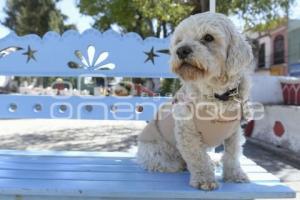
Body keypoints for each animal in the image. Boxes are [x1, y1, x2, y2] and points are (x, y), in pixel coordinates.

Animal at [138, 12, 253, 191]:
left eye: (208, 37)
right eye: (179, 41)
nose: (181, 50)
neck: (217, 95)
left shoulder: (234, 132)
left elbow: (232, 154)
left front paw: (234, 175)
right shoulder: (187, 132)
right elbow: (197, 157)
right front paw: (204, 179)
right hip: (158, 153)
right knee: (171, 163)